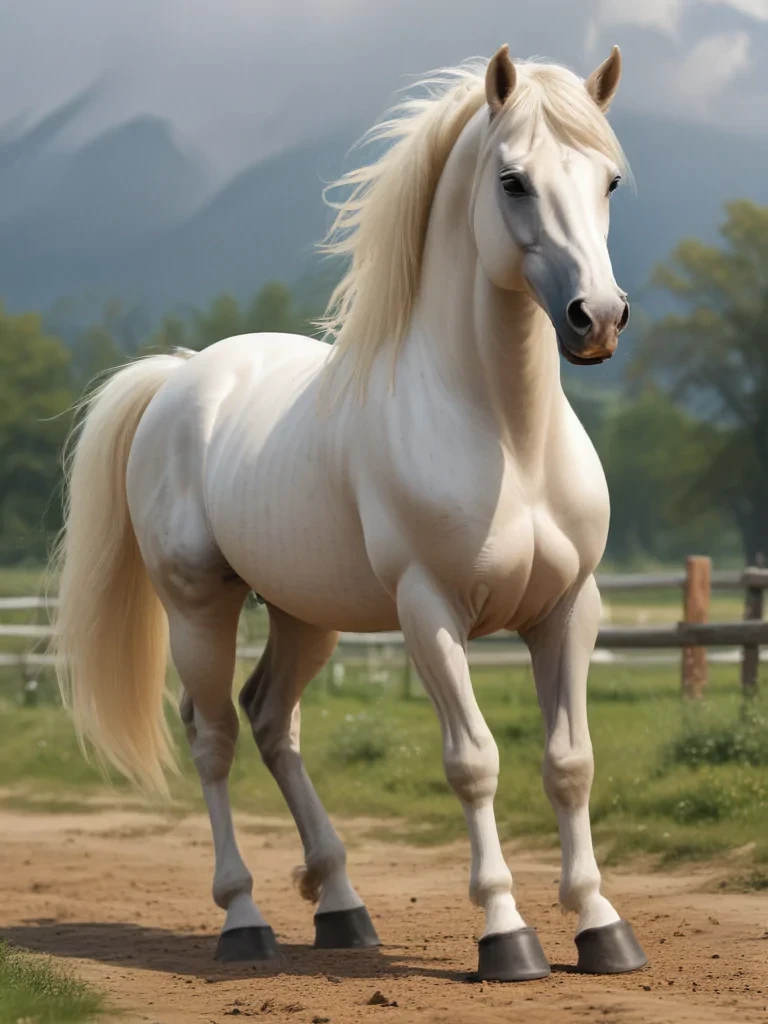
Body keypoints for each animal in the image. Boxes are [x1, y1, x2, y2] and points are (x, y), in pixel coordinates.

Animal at [53, 44, 647, 981]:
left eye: (610, 180)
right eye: (513, 181)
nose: (599, 319)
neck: (507, 438)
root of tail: (182, 376)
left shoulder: (566, 610)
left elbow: (569, 763)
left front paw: (600, 925)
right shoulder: (430, 613)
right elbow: (474, 763)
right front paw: (505, 935)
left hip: (305, 615)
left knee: (272, 722)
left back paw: (341, 905)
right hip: (199, 609)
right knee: (214, 736)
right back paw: (245, 921)